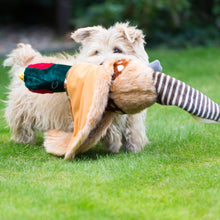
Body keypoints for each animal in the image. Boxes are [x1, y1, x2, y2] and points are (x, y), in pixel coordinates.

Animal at [3, 21, 150, 153]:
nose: (102, 65)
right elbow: (107, 128)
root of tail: (29, 59)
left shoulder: (131, 116)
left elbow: (132, 128)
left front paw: (133, 146)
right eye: (96, 52)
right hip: (23, 108)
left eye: (117, 50)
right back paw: (24, 140)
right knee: (22, 125)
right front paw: (113, 144)